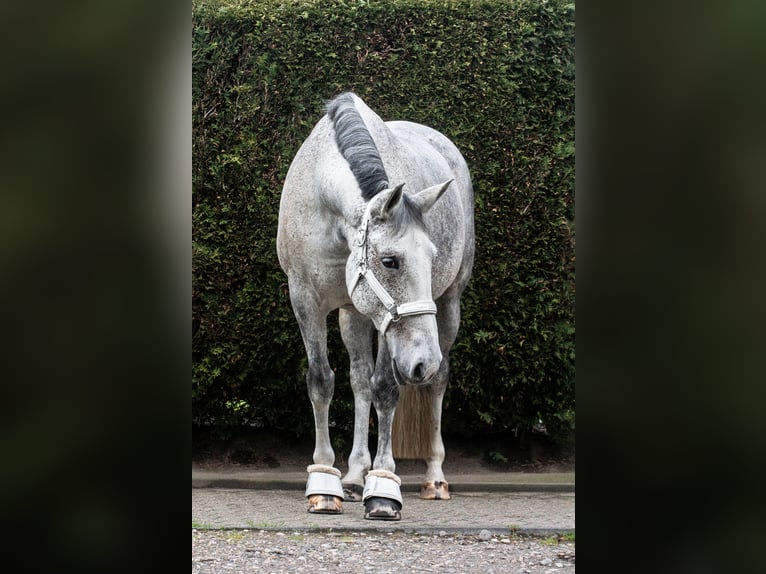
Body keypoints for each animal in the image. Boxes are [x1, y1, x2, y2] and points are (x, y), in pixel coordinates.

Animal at [276, 93, 474, 520]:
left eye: (432, 256)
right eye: (390, 261)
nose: (422, 361)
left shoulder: (390, 325)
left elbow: (386, 389)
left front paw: (383, 487)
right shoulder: (305, 299)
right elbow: (323, 381)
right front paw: (325, 483)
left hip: (449, 306)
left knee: (438, 381)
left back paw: (434, 478)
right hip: (353, 315)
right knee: (359, 378)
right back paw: (353, 476)